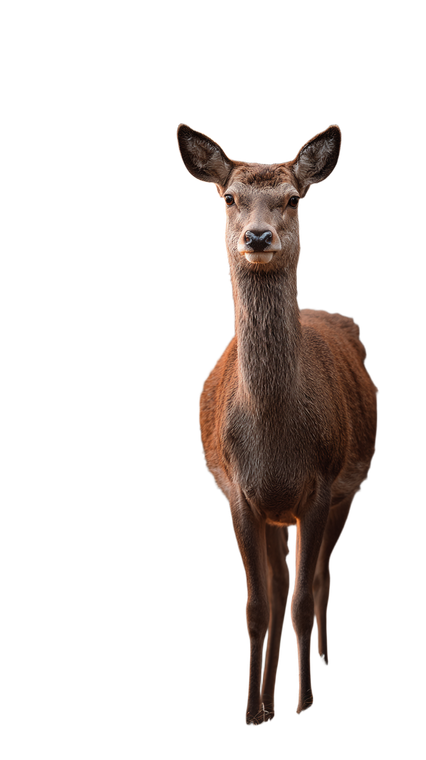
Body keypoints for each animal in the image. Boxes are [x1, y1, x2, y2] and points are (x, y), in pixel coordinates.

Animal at [176, 123, 378, 726]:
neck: (275, 443)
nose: (259, 236)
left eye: (292, 198)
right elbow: (259, 605)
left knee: (321, 578)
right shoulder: (240, 493)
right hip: (271, 513)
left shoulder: (322, 484)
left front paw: (303, 702)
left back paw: (325, 661)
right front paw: (256, 711)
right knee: (279, 580)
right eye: (229, 198)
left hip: (345, 492)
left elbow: (301, 599)